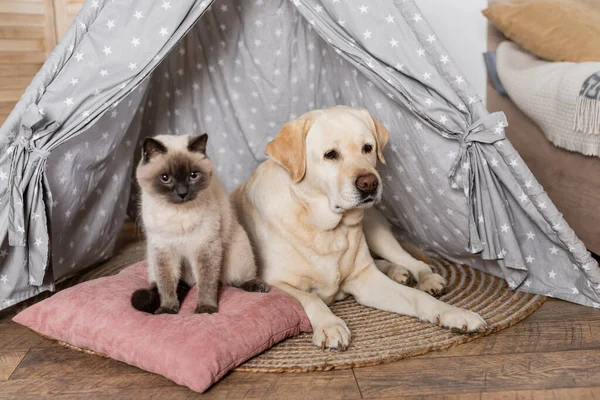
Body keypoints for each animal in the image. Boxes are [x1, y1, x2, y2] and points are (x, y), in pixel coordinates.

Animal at [133, 133, 270, 314]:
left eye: (193, 175)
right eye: (165, 178)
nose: (182, 193)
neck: (178, 213)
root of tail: (189, 280)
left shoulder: (204, 247)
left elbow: (206, 283)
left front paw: (206, 309)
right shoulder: (165, 251)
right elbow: (166, 285)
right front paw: (167, 310)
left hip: (238, 253)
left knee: (234, 280)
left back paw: (257, 285)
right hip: (152, 259)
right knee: (160, 283)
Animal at [231, 106, 488, 350]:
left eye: (368, 148)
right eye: (330, 155)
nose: (369, 183)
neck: (323, 226)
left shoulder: (367, 281)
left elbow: (417, 297)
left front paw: (455, 313)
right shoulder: (276, 282)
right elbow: (309, 299)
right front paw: (330, 326)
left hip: (375, 229)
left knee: (410, 261)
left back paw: (421, 276)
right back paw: (396, 271)